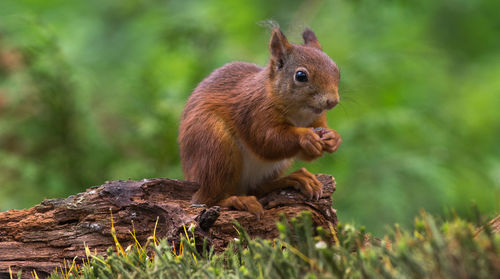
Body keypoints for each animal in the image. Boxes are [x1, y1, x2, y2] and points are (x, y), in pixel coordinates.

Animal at [178, 27, 342, 219]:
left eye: (337, 70)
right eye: (301, 76)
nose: (332, 102)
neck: (299, 113)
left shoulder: (317, 119)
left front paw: (334, 138)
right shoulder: (254, 111)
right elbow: (267, 141)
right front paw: (306, 136)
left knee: (256, 187)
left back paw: (295, 178)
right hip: (214, 147)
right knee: (205, 199)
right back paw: (236, 200)